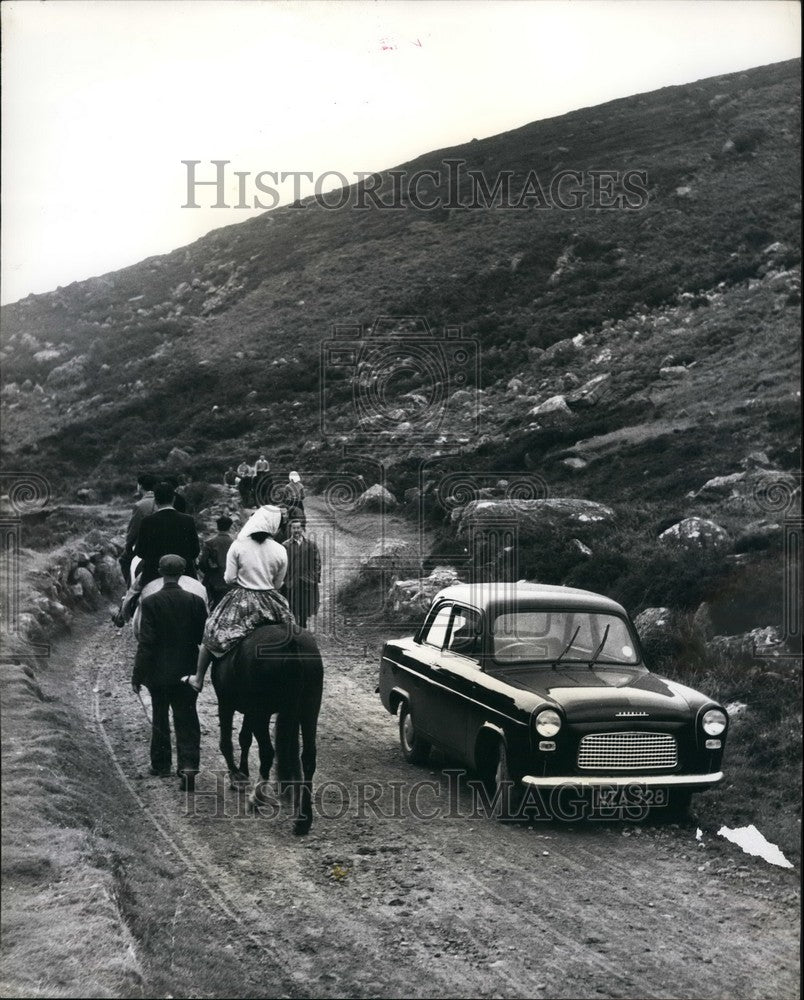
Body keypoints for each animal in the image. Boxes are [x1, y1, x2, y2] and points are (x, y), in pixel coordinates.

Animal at [212, 620, 322, 832]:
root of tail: (291, 645)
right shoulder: (250, 711)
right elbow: (244, 738)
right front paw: (242, 772)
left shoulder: (226, 702)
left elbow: (228, 741)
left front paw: (237, 776)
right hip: (310, 708)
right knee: (308, 757)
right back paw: (303, 819)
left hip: (261, 713)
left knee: (267, 752)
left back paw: (257, 798)